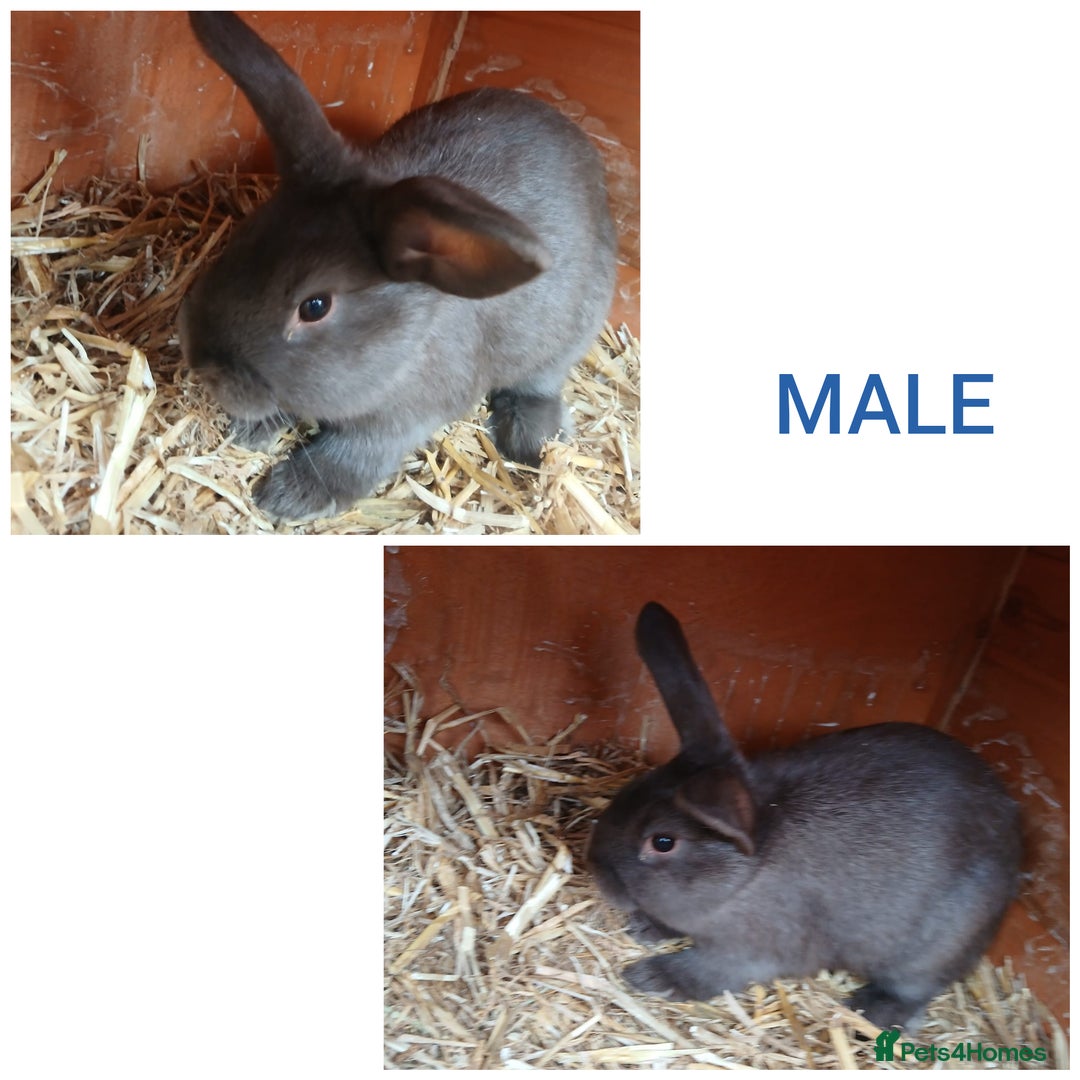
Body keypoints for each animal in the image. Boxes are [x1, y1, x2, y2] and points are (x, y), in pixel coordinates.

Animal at [178, 12, 617, 520]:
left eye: (314, 307)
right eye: (244, 237)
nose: (204, 366)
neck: (406, 342)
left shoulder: (398, 421)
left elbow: (350, 457)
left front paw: (287, 496)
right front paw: (252, 432)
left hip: (563, 339)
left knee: (538, 386)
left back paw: (534, 440)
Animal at [586, 601, 1024, 1030]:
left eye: (663, 842)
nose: (595, 870)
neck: (746, 875)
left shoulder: (753, 951)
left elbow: (707, 971)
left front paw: (648, 977)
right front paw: (645, 928)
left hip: (928, 952)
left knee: (913, 992)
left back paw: (868, 1012)